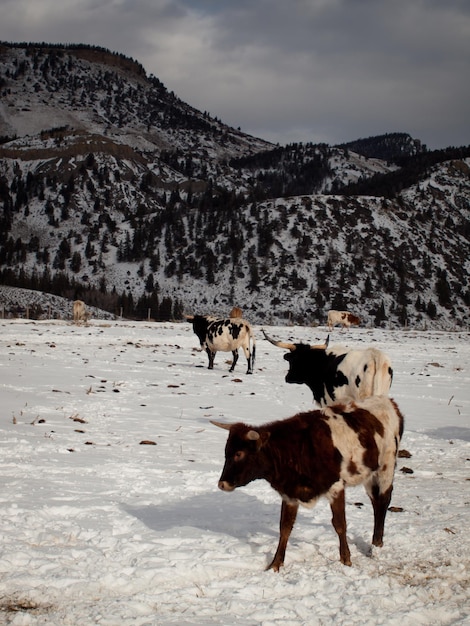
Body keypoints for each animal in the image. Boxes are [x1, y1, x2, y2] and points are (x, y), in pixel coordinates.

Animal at [213, 394, 404, 572]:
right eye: (226, 452)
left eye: (239, 454)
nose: (222, 484)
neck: (296, 449)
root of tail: (389, 402)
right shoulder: (290, 493)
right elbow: (285, 528)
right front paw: (276, 564)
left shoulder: (336, 487)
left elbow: (340, 524)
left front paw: (346, 559)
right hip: (370, 475)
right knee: (375, 502)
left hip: (386, 467)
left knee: (383, 501)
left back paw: (377, 544)